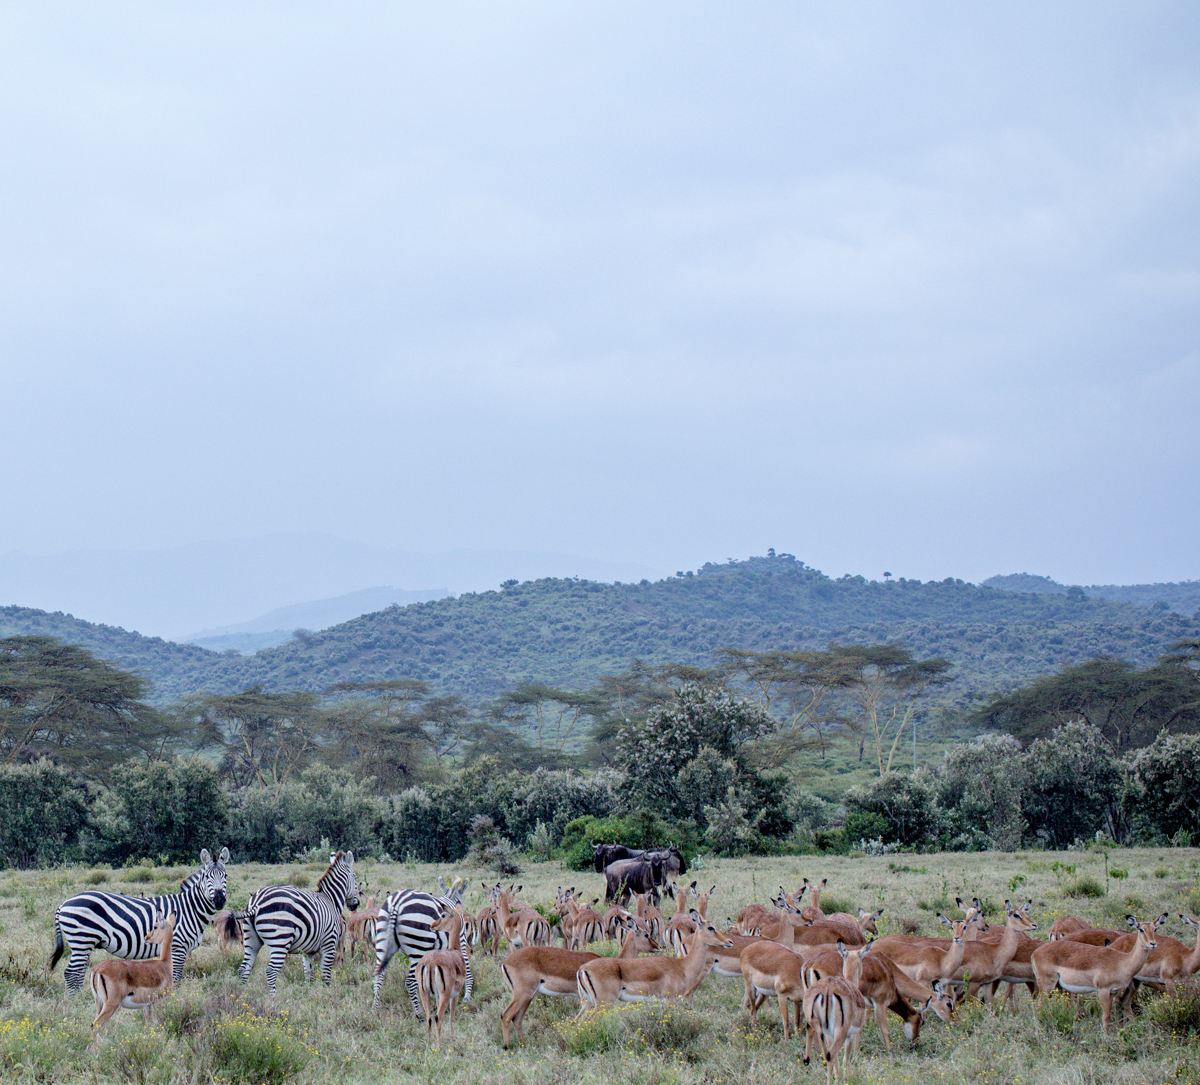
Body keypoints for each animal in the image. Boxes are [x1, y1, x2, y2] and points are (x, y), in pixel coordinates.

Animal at [47, 844, 229, 993]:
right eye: (207, 877)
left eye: (225, 875)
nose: (219, 900)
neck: (189, 909)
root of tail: (64, 903)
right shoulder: (177, 947)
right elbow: (176, 979)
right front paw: (174, 1001)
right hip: (81, 940)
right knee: (71, 973)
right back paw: (74, 1002)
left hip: (84, 944)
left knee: (78, 972)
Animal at [229, 849, 357, 993]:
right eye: (356, 877)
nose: (356, 905)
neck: (330, 900)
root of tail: (256, 903)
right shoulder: (328, 943)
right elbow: (326, 975)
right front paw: (327, 994)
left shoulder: (308, 951)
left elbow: (309, 974)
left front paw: (308, 993)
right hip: (280, 939)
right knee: (271, 971)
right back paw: (274, 997)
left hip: (251, 940)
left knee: (243, 969)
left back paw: (241, 994)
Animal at [372, 873, 470, 1008]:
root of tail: (396, 902)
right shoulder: (461, 942)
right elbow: (467, 968)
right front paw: (466, 997)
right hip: (418, 947)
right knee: (410, 982)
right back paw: (419, 1012)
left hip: (383, 941)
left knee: (378, 975)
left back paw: (375, 1009)